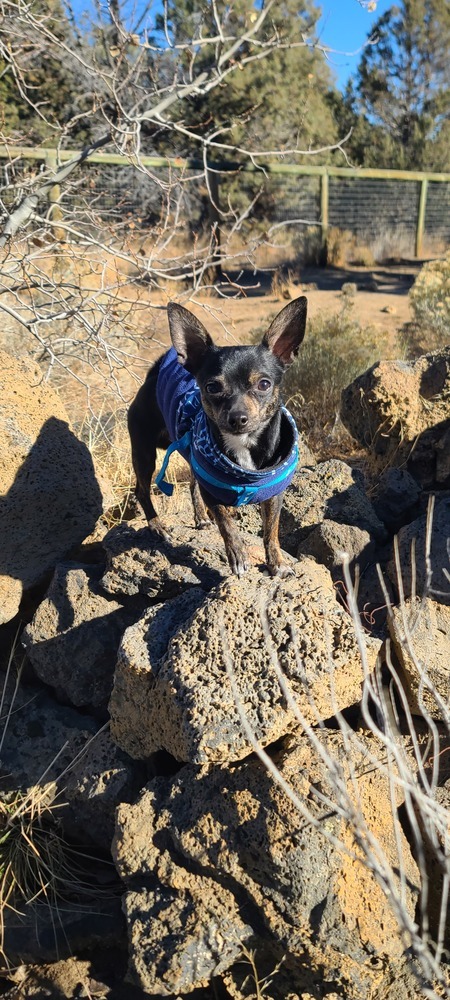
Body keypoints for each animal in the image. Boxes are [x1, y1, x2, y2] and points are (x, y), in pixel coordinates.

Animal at [128, 294, 308, 580]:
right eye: (212, 387)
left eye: (264, 384)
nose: (238, 417)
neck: (244, 449)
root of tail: (155, 372)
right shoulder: (211, 489)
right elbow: (226, 522)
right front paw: (238, 556)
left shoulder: (274, 495)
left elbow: (271, 532)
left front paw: (277, 564)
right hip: (144, 452)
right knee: (142, 489)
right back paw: (157, 525)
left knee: (191, 483)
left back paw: (200, 518)